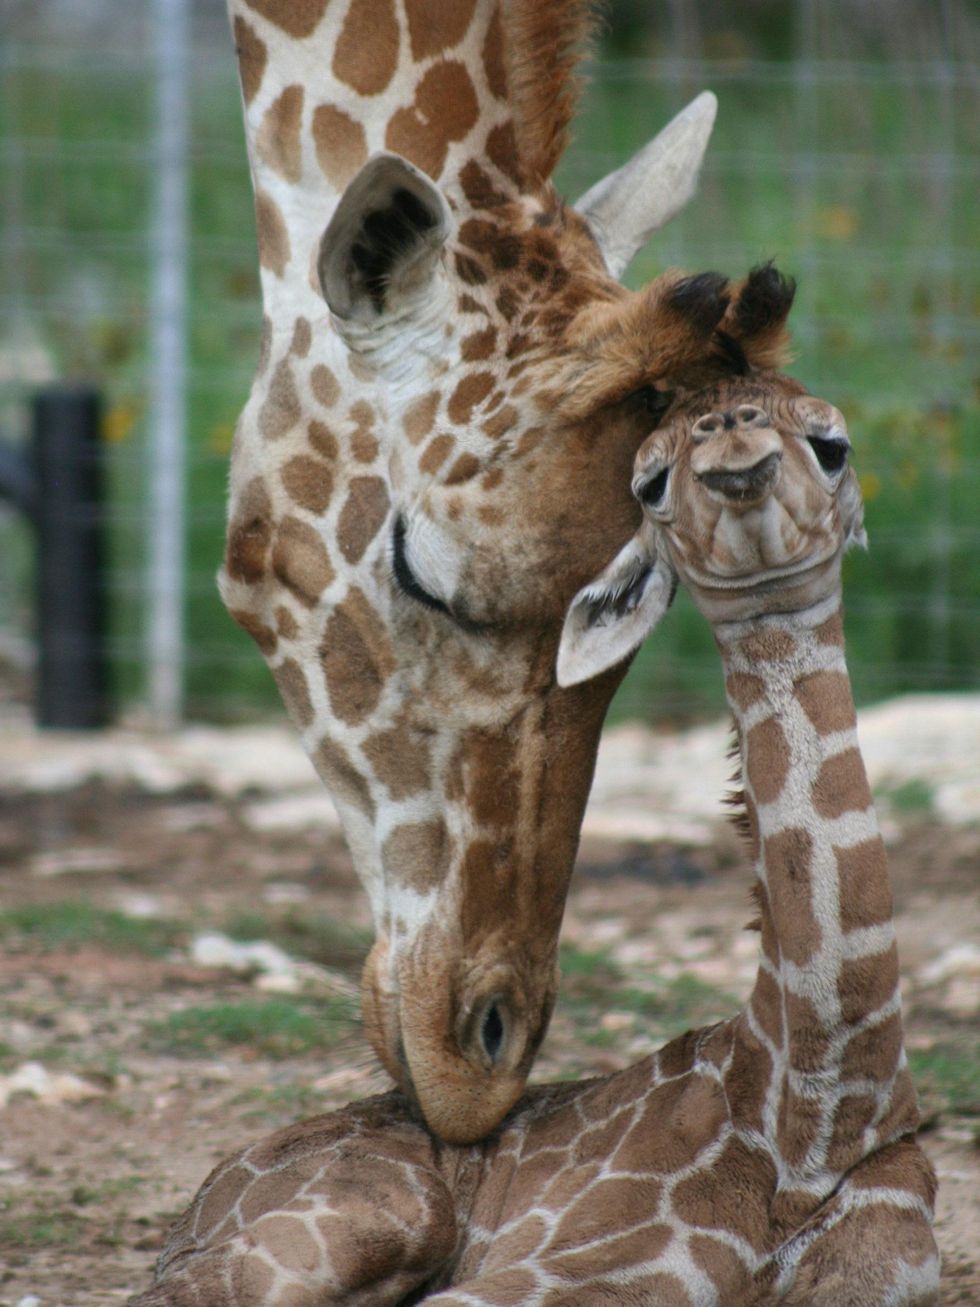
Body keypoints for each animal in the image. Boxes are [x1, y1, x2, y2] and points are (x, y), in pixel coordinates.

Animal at [131, 278, 939, 1306]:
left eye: (831, 442)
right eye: (649, 480)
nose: (734, 449)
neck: (816, 1113)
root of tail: (192, 1208)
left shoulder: (886, 1265)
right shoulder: (561, 1269)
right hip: (370, 1220)